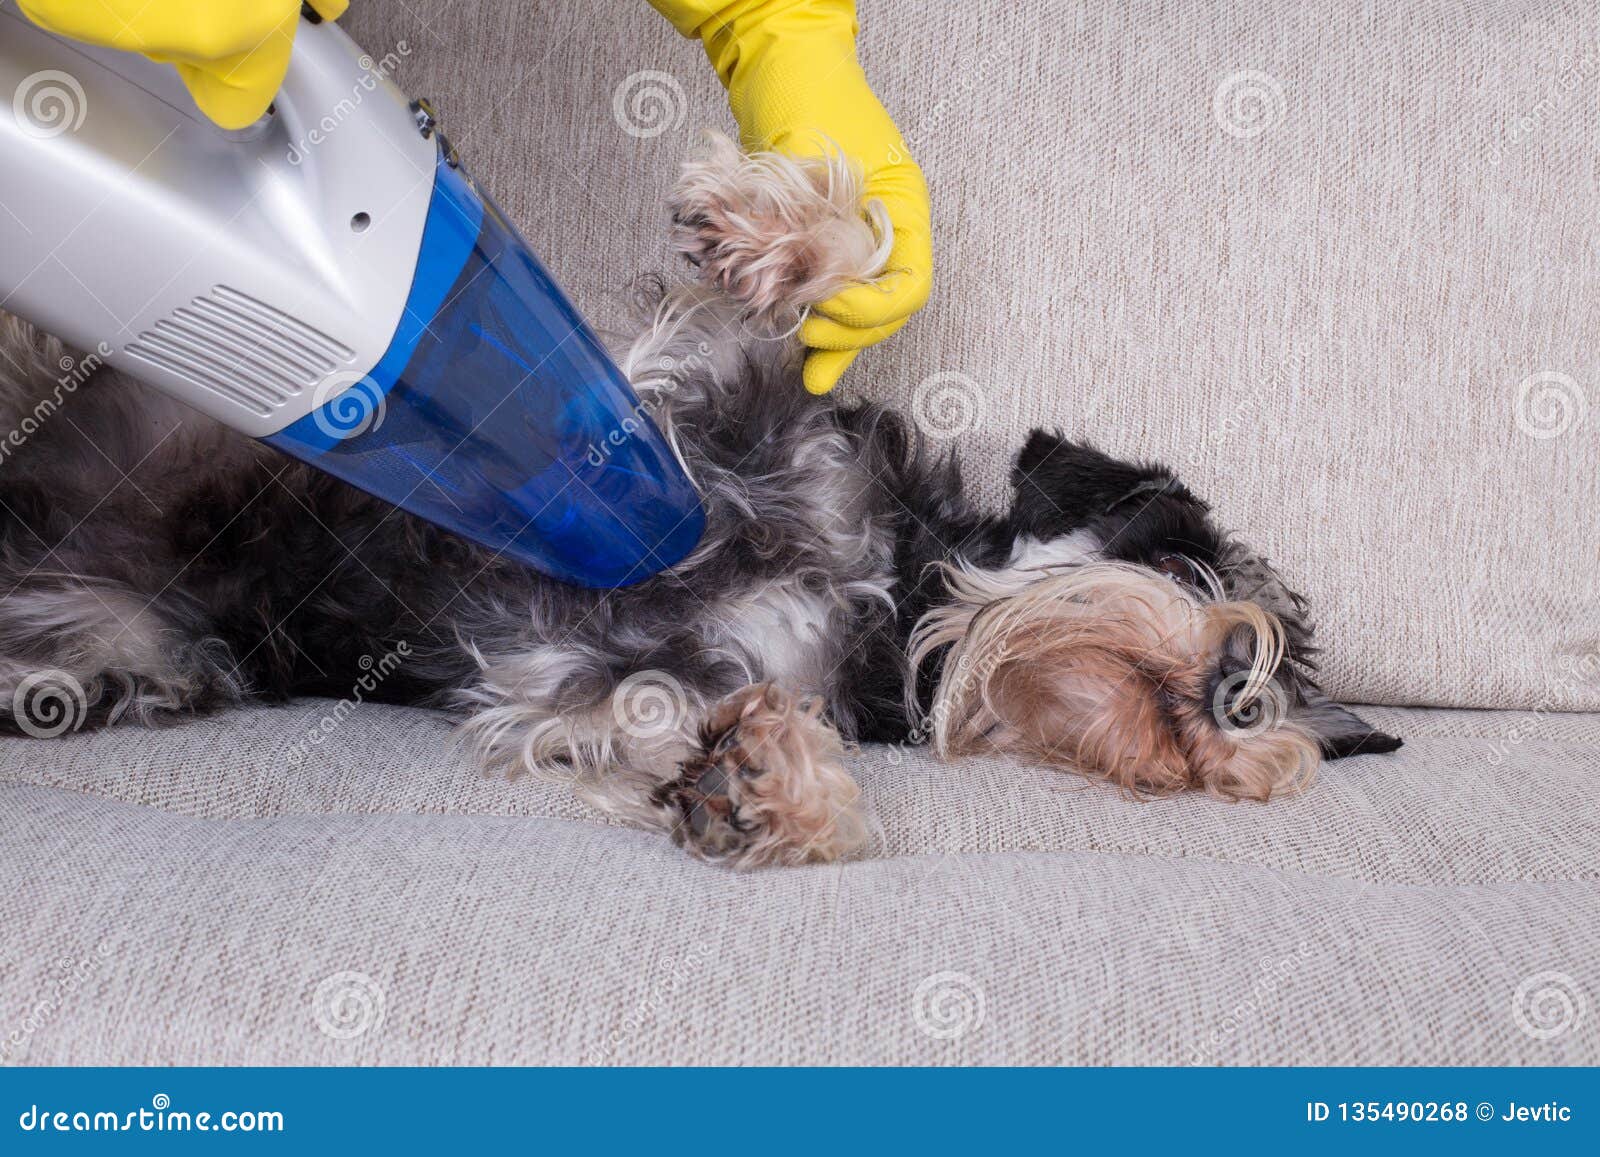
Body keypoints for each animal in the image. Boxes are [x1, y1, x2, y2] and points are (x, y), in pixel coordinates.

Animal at [0, 131, 1395, 864]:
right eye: (1184, 553)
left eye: (1284, 704)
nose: (1238, 690)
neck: (897, 587)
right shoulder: (682, 395)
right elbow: (829, 267)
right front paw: (772, 229)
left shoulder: (565, 679)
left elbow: (662, 711)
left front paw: (767, 786)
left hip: (140, 648)